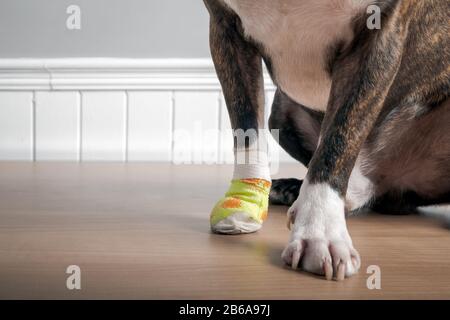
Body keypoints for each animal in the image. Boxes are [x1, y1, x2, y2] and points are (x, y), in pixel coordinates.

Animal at [204, 0, 450, 280]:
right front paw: (244, 204)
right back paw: (290, 189)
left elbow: (336, 146)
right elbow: (247, 131)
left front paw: (319, 233)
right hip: (281, 111)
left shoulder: (376, 36)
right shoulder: (226, 28)